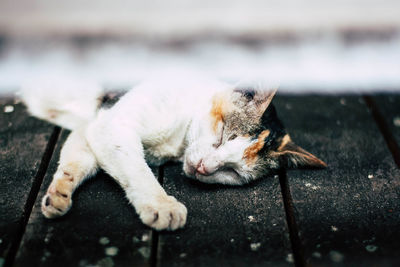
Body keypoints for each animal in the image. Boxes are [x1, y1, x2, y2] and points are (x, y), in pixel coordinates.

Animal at [21, 77, 326, 232]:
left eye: (233, 171)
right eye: (222, 136)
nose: (204, 168)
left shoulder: (93, 126)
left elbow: (76, 161)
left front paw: (58, 195)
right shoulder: (113, 124)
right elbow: (138, 171)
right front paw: (162, 206)